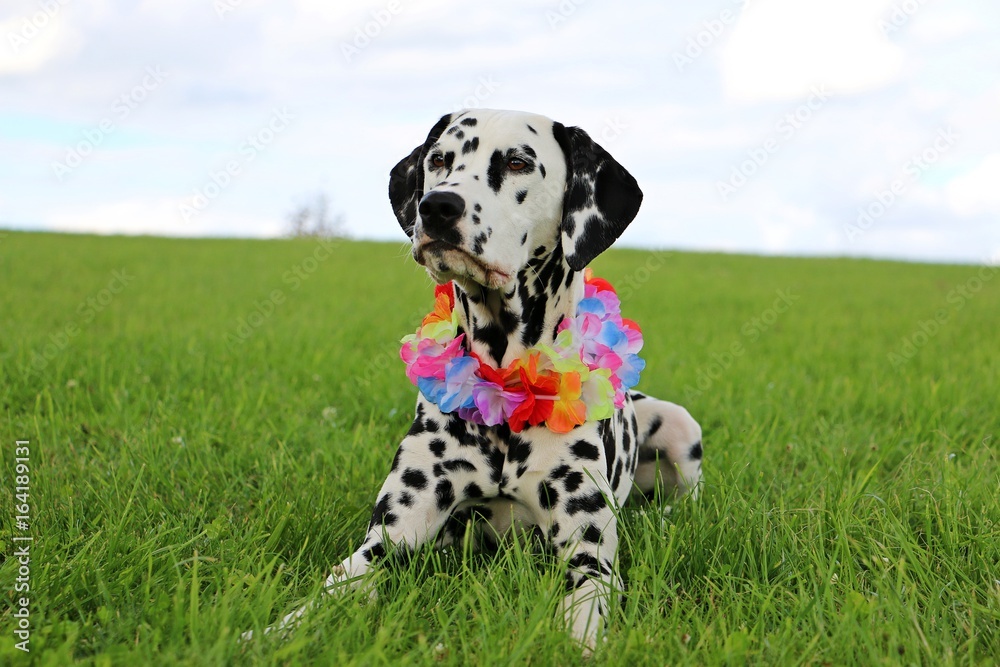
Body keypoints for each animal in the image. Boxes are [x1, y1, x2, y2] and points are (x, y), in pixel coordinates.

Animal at [250, 109, 704, 652]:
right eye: (440, 160)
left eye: (517, 163)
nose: (437, 206)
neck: (505, 382)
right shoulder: (388, 541)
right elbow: (325, 594)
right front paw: (264, 634)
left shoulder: (588, 559)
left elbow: (584, 621)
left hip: (681, 425)